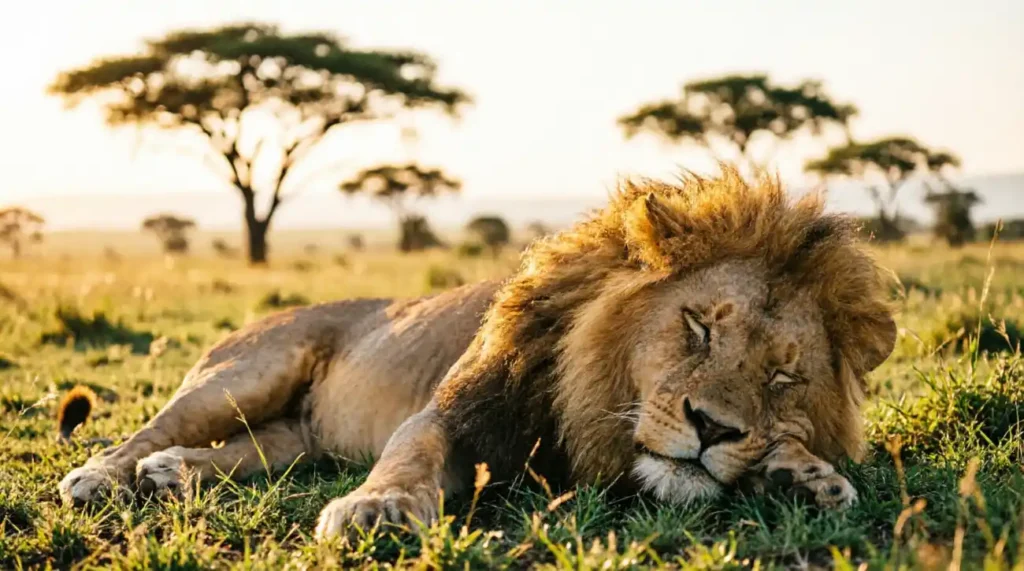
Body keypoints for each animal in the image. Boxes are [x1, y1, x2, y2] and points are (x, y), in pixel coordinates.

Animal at [59, 168, 896, 539]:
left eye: (782, 374)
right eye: (698, 326)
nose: (714, 427)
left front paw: (801, 477)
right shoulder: (457, 411)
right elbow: (411, 453)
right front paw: (377, 506)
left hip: (297, 434)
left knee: (248, 451)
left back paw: (172, 475)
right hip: (248, 370)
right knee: (152, 429)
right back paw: (102, 477)